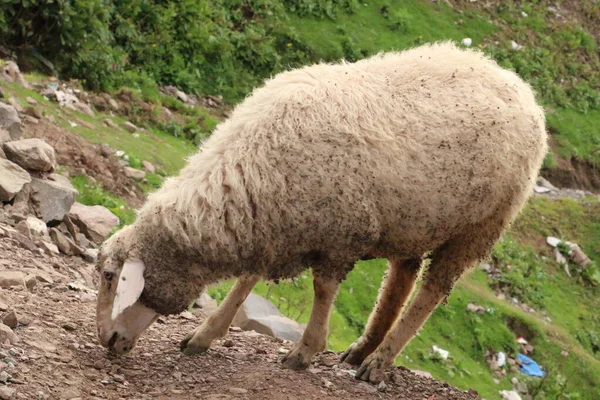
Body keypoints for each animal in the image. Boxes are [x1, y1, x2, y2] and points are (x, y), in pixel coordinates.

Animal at [95, 41, 548, 382]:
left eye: (111, 277)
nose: (107, 340)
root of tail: (516, 83)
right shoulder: (273, 224)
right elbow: (246, 280)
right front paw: (205, 335)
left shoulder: (338, 234)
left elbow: (323, 290)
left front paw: (306, 350)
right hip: (416, 218)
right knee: (401, 277)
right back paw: (364, 347)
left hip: (478, 227)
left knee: (432, 290)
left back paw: (380, 360)